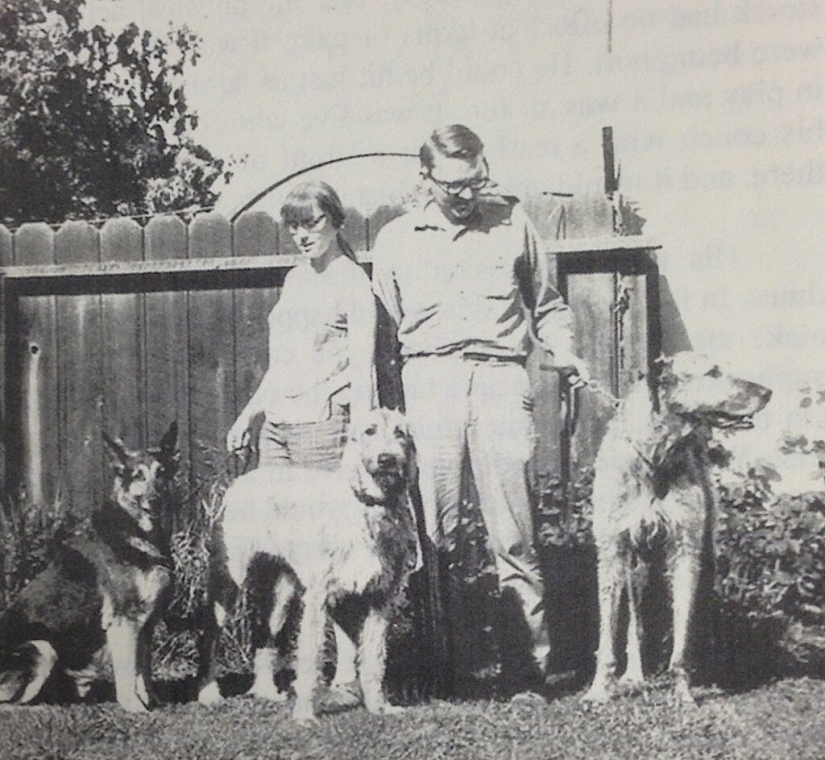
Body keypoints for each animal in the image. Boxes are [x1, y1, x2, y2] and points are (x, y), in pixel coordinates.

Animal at [0, 424, 179, 708]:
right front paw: (134, 708)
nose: (155, 501)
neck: (136, 530)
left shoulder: (146, 625)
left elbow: (144, 673)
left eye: (161, 472)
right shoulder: (123, 622)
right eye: (137, 476)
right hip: (42, 647)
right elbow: (128, 674)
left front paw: (152, 702)